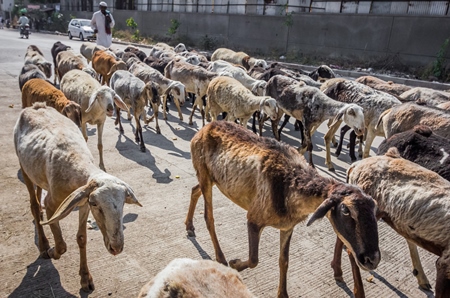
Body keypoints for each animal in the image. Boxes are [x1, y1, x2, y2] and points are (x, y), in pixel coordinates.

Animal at [14, 102, 142, 292]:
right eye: (96, 204)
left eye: (123, 204)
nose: (116, 248)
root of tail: (36, 106)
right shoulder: (53, 204)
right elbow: (61, 245)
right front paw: (53, 252)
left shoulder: (82, 203)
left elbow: (81, 238)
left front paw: (85, 278)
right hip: (24, 168)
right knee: (34, 205)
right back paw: (44, 246)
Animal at [186, 120, 380, 298]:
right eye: (346, 210)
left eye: (375, 209)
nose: (372, 259)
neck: (289, 184)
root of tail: (205, 127)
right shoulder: (254, 217)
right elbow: (254, 259)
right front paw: (235, 264)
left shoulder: (287, 227)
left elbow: (284, 261)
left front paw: (282, 293)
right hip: (204, 172)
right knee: (208, 217)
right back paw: (220, 257)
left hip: (211, 178)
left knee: (194, 190)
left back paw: (189, 226)